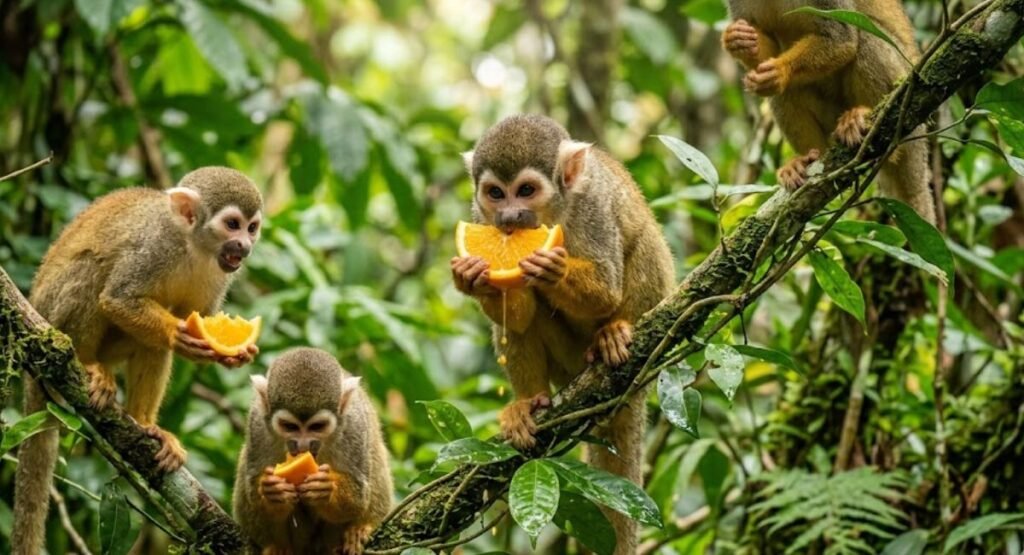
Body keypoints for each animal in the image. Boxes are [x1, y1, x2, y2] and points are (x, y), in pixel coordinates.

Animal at [13, 166, 263, 555]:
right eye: (232, 224)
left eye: (252, 227)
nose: (245, 246)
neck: (193, 246)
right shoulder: (152, 248)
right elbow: (118, 298)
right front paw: (179, 334)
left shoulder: (221, 272)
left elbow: (199, 316)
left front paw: (233, 352)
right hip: (52, 314)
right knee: (94, 266)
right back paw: (86, 364)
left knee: (150, 344)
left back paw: (145, 423)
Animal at [233, 347, 393, 555]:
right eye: (290, 426)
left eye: (317, 426)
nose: (303, 445)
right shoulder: (257, 424)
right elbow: (253, 487)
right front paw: (272, 490)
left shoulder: (354, 425)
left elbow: (358, 495)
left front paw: (326, 488)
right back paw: (277, 546)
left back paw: (358, 530)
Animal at [451, 114, 676, 555]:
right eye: (496, 194)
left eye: (525, 191)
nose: (510, 218)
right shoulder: (480, 216)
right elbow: (516, 313)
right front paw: (472, 279)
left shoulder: (592, 207)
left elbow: (606, 286)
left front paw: (550, 269)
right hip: (567, 363)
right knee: (522, 323)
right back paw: (530, 403)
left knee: (643, 242)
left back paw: (615, 334)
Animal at [722, 0, 936, 223]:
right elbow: (764, 58)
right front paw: (737, 42)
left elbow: (841, 39)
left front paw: (781, 71)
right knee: (782, 91)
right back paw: (809, 158)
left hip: (905, 82)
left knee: (864, 34)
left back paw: (866, 118)